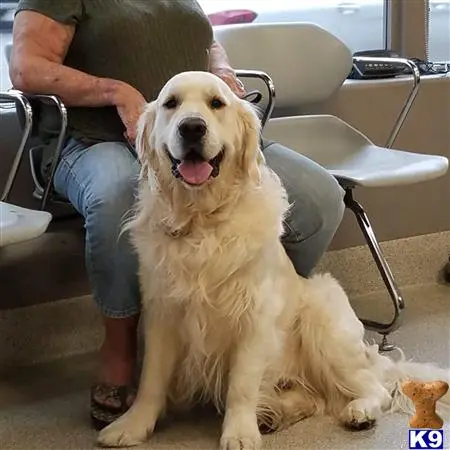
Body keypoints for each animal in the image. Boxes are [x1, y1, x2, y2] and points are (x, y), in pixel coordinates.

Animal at [99, 72, 450, 448]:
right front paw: (132, 425)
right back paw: (274, 414)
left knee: (376, 388)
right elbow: (151, 379)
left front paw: (240, 433)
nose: (192, 127)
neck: (202, 220)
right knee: (316, 397)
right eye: (171, 104)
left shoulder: (253, 316)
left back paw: (359, 411)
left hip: (323, 321)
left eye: (216, 103)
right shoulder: (162, 313)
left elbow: (241, 384)